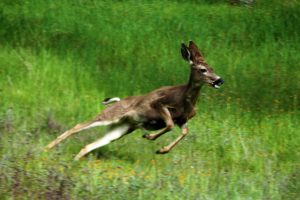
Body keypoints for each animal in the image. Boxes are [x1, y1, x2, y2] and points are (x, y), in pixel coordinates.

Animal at [44, 41, 223, 161]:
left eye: (213, 68)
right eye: (203, 70)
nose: (219, 80)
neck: (185, 100)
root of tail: (118, 101)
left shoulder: (184, 119)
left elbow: (184, 132)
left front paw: (162, 150)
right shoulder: (159, 103)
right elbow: (170, 124)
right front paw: (150, 137)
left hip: (121, 128)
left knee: (90, 144)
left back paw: (74, 160)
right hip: (111, 114)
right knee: (78, 126)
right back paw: (46, 149)